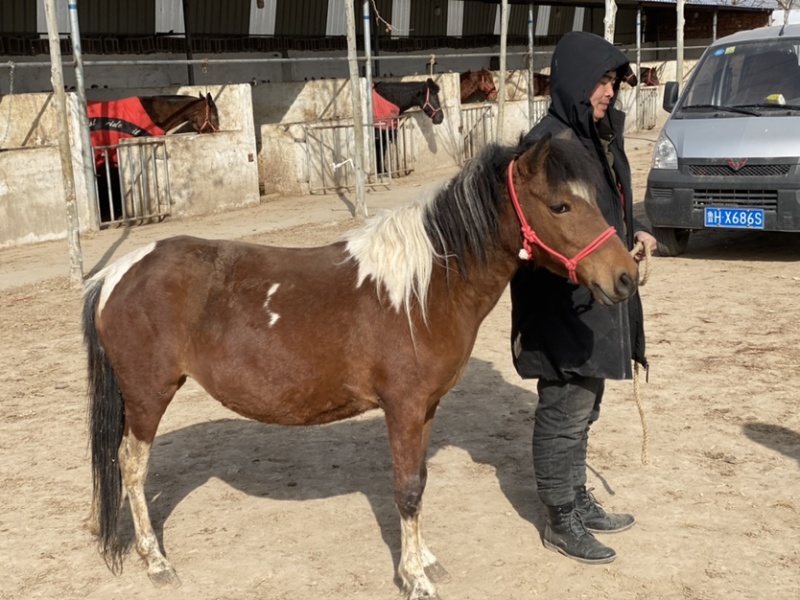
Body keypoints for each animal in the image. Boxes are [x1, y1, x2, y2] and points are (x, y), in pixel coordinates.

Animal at [82, 133, 639, 600]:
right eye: (561, 205)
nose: (627, 275)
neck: (424, 289)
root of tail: (116, 272)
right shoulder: (404, 408)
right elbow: (406, 490)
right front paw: (415, 580)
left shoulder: (426, 409)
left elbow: (418, 482)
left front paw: (425, 560)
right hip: (149, 397)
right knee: (131, 466)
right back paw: (156, 561)